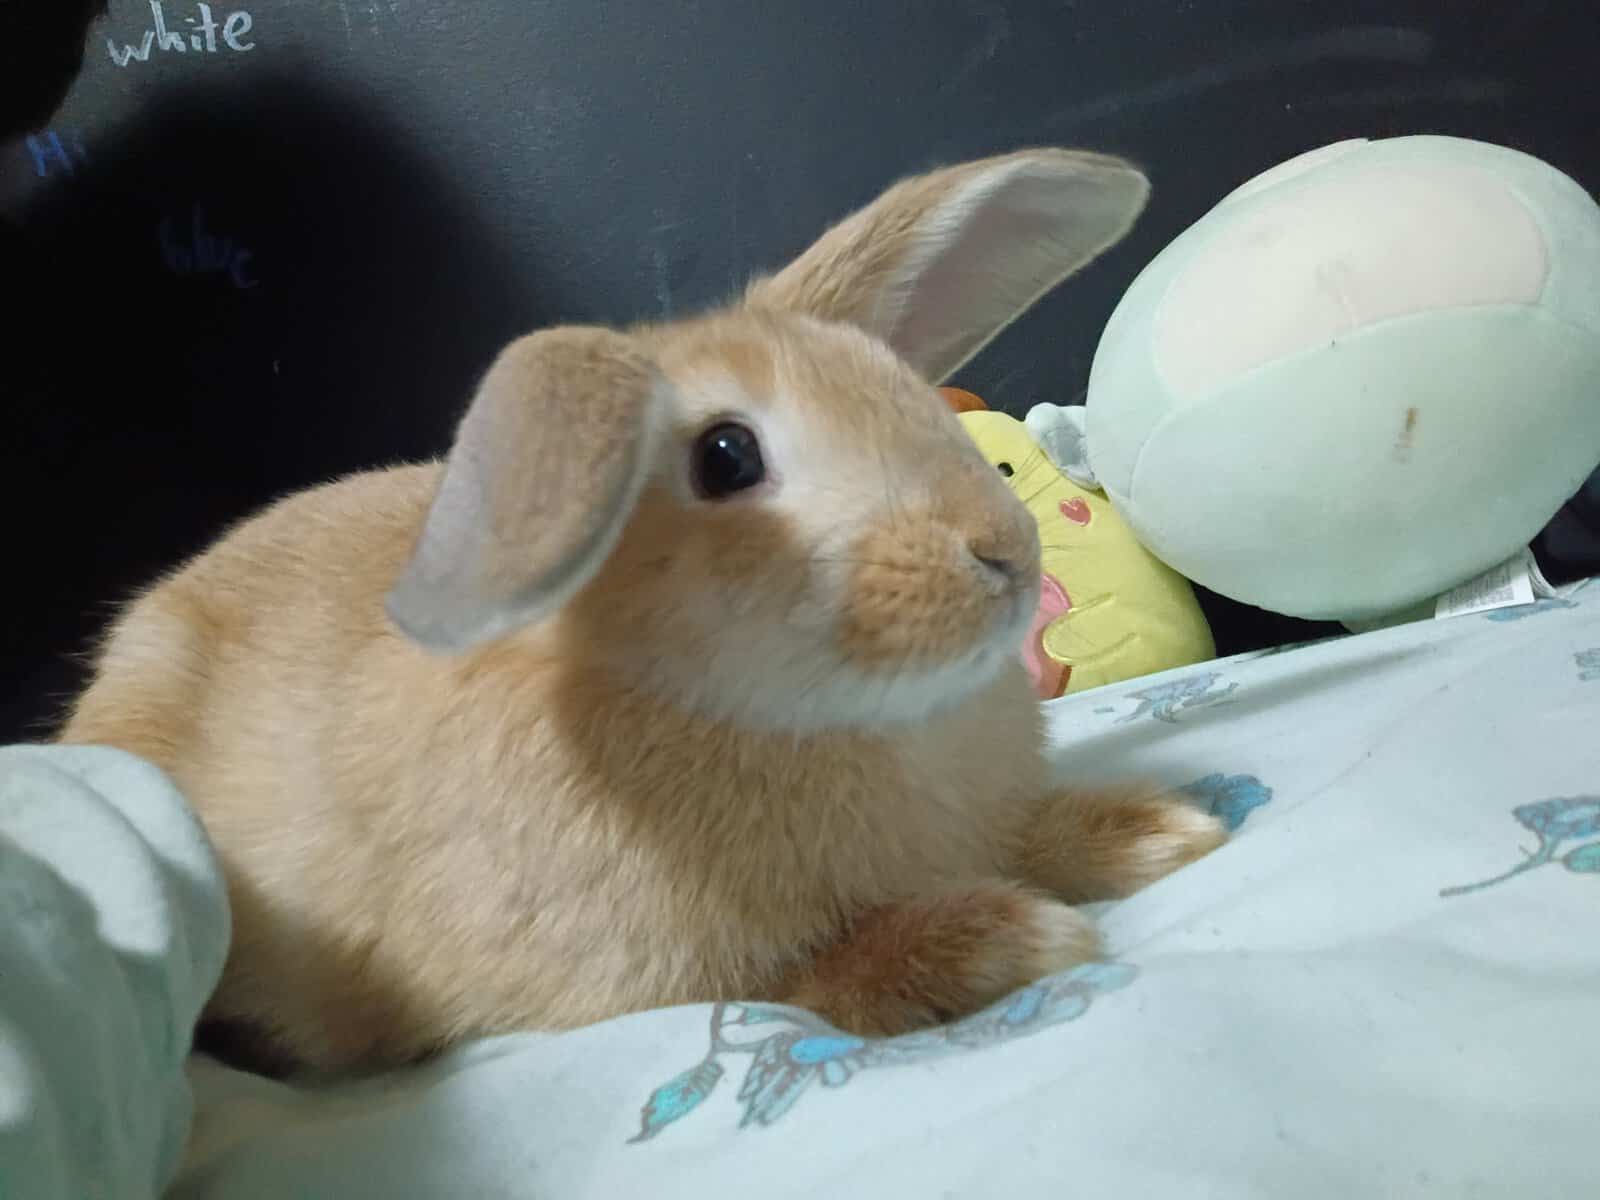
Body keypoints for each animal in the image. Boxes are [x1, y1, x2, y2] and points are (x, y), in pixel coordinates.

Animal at [58, 148, 1227, 1077]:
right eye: (727, 457)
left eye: (901, 390)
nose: (1007, 555)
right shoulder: (650, 980)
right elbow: (801, 984)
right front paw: (999, 943)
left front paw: (1156, 830)